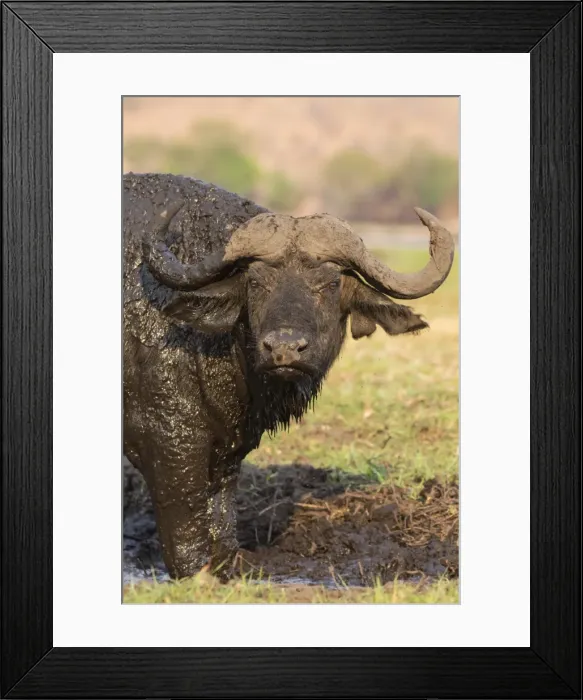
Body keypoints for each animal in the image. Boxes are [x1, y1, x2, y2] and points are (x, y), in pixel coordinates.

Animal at [123, 172, 455, 579]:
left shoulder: (228, 451)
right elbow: (185, 527)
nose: (284, 348)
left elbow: (220, 517)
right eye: (255, 282)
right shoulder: (170, 443)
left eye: (330, 283)